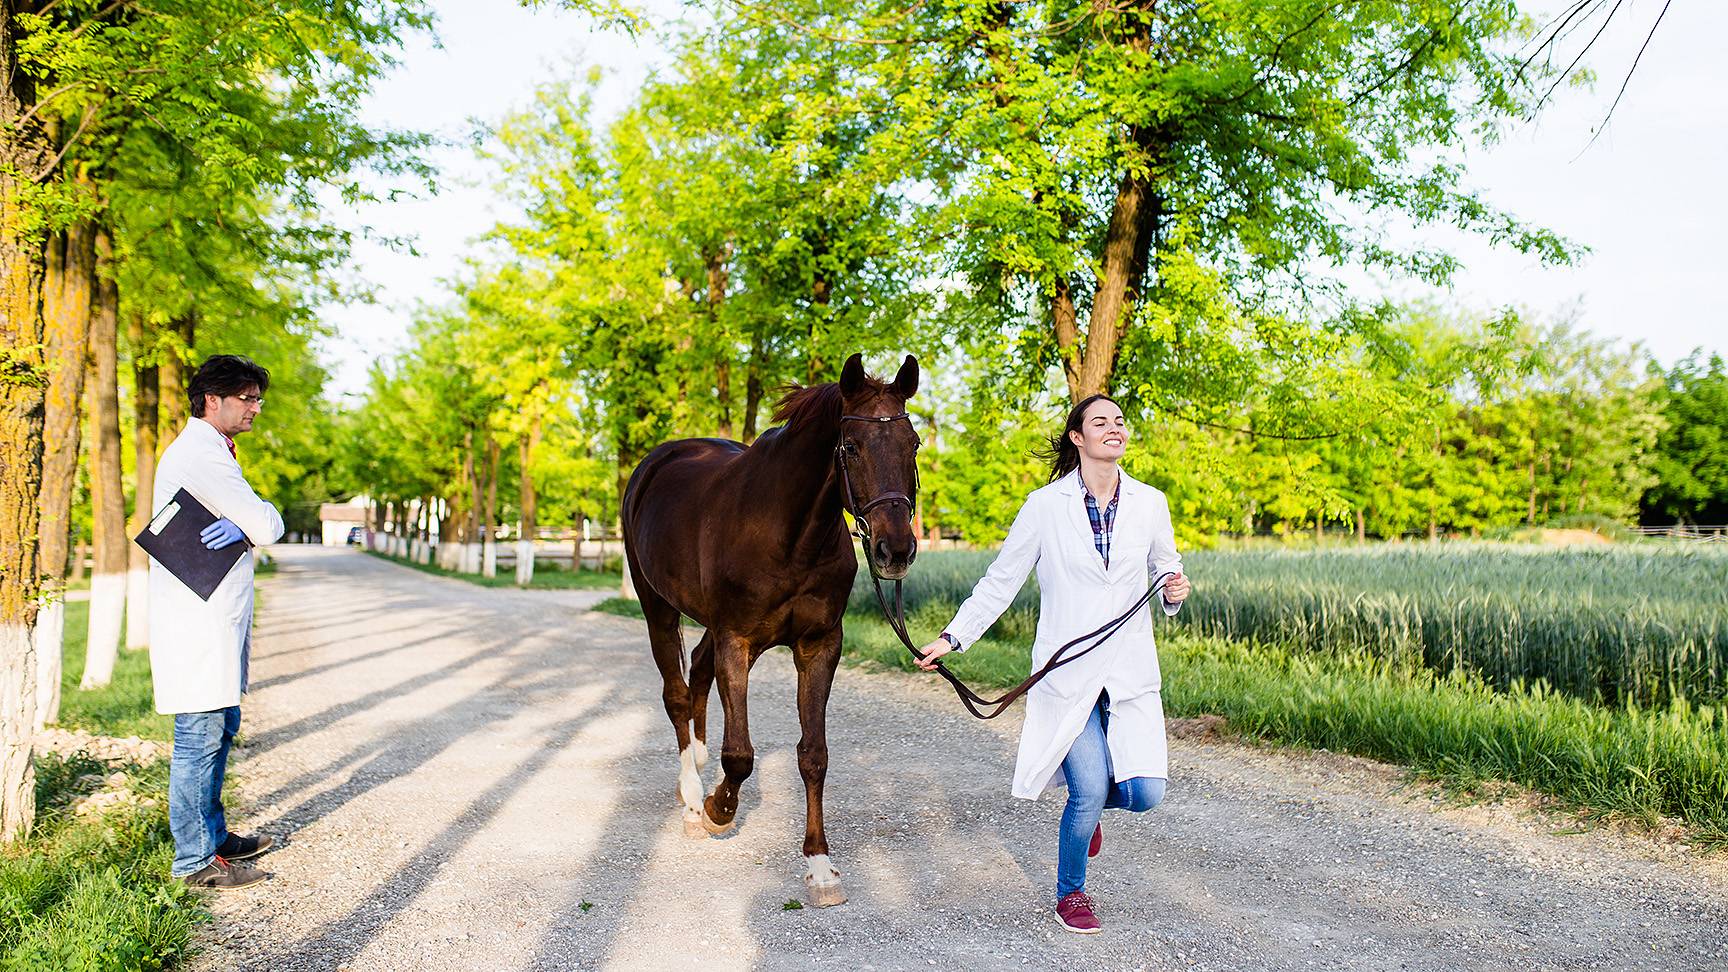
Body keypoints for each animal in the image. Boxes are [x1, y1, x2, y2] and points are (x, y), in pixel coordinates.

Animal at [620, 353, 920, 907]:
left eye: (912, 444)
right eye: (850, 446)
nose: (895, 550)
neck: (790, 534)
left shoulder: (819, 645)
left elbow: (814, 755)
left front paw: (820, 867)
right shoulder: (737, 640)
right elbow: (739, 755)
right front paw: (718, 809)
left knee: (698, 670)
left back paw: (698, 764)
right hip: (659, 608)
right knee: (676, 692)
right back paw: (692, 797)